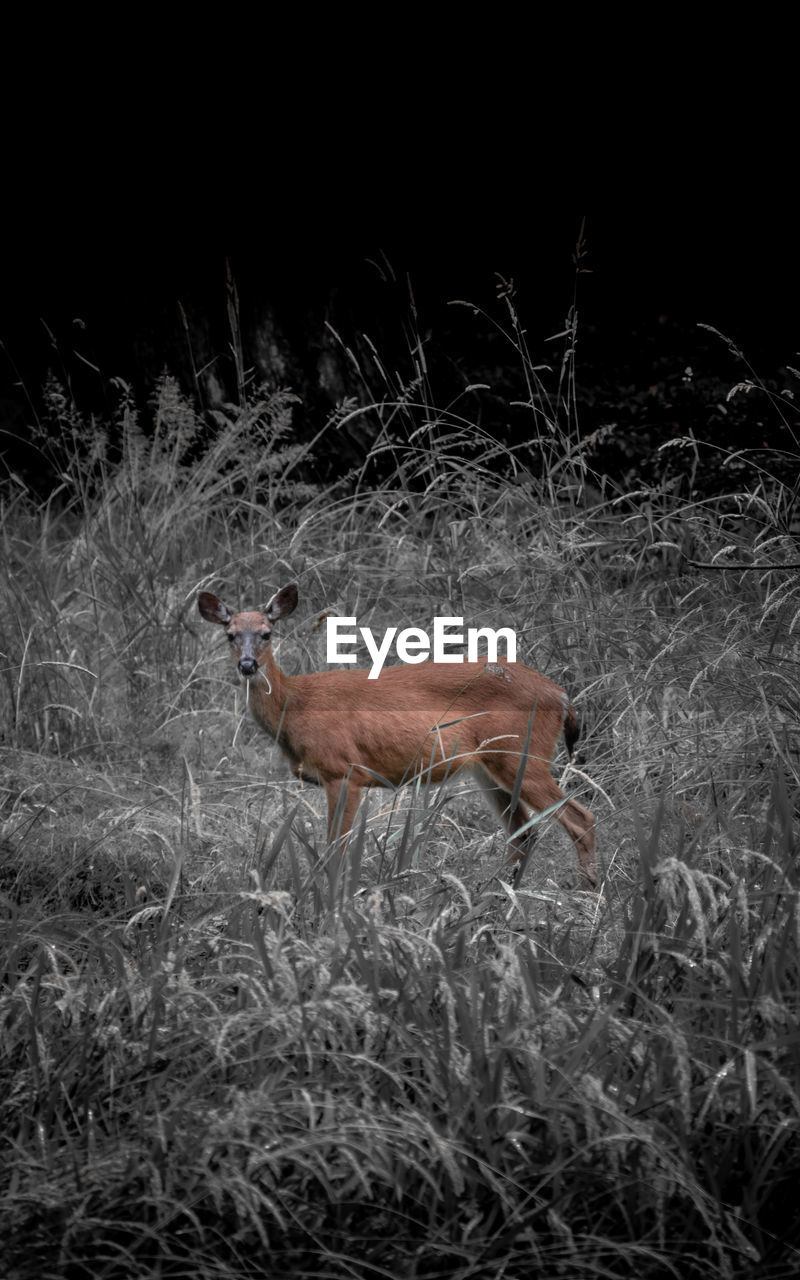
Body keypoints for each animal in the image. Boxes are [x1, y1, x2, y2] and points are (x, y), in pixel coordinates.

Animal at [198, 586, 596, 885]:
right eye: (230, 635)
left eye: (267, 634)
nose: (247, 665)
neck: (295, 706)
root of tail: (560, 695)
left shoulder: (343, 769)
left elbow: (335, 849)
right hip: (489, 766)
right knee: (524, 833)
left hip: (522, 754)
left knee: (581, 820)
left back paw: (585, 894)